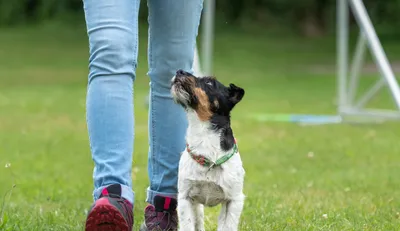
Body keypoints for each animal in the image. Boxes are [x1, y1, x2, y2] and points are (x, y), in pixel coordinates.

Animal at [170, 69, 245, 231]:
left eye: (210, 82)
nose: (179, 71)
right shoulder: (185, 197)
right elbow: (187, 225)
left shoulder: (234, 200)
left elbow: (229, 226)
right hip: (197, 207)